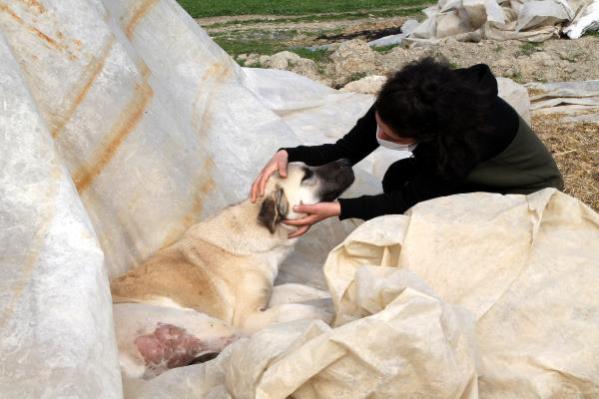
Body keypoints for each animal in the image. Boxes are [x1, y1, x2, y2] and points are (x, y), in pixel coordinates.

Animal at [109, 159, 354, 378]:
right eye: (306, 176)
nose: (346, 160)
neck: (254, 226)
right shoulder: (249, 318)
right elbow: (297, 309)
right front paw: (328, 313)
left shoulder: (268, 295)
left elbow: (300, 290)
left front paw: (329, 294)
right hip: (209, 324)